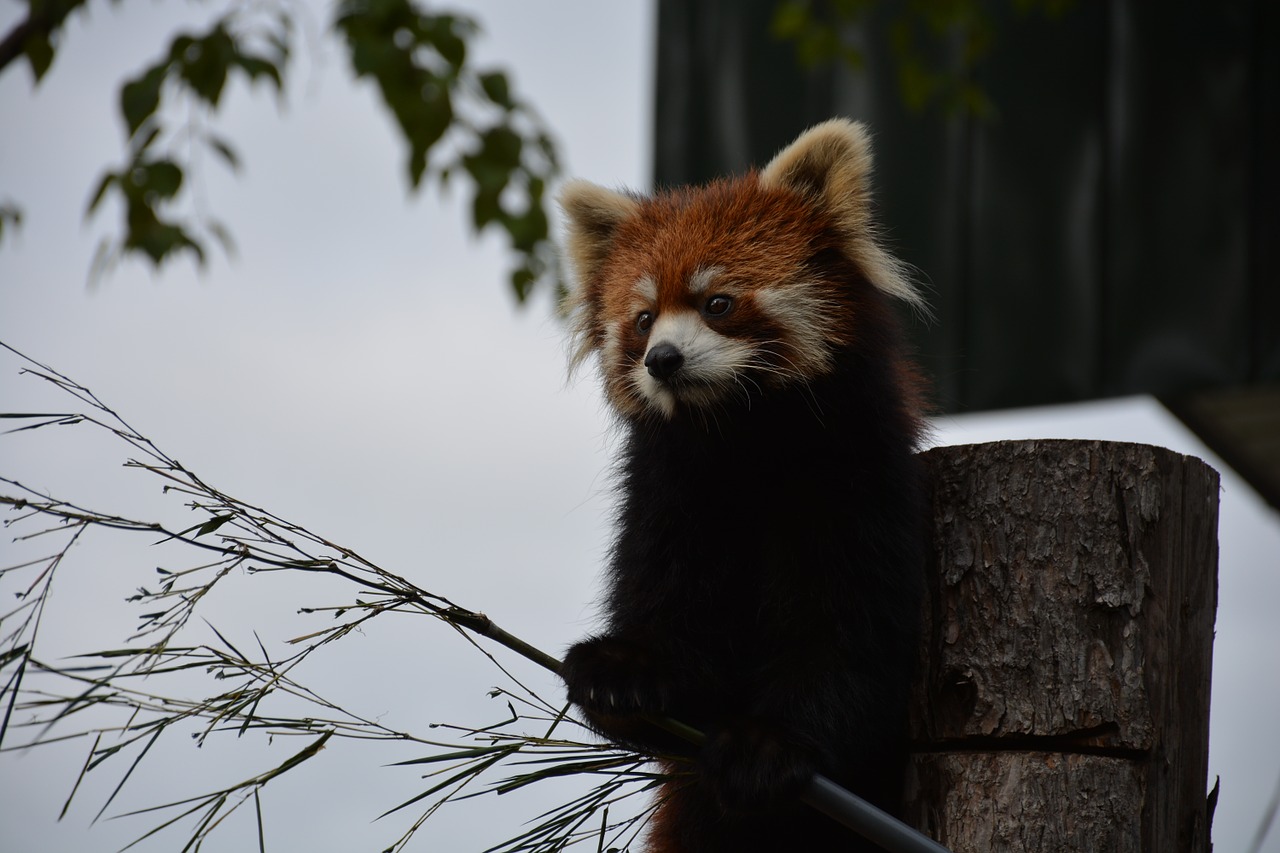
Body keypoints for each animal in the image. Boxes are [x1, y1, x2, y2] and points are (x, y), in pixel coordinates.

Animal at [555, 119, 926, 850]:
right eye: (643, 319)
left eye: (718, 303)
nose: (662, 360)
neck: (741, 441)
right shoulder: (669, 492)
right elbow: (676, 620)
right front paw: (625, 670)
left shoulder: (858, 481)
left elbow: (849, 631)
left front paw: (770, 744)